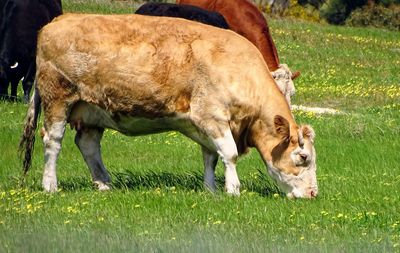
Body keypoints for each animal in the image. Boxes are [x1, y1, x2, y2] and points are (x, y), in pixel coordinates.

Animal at [19, 13, 318, 200]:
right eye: (303, 157)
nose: (314, 194)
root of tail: (57, 21)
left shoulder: (204, 125)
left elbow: (210, 157)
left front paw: (210, 190)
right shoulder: (213, 117)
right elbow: (229, 155)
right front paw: (233, 190)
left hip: (91, 110)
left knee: (88, 144)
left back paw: (104, 184)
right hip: (58, 100)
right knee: (53, 141)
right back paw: (50, 185)